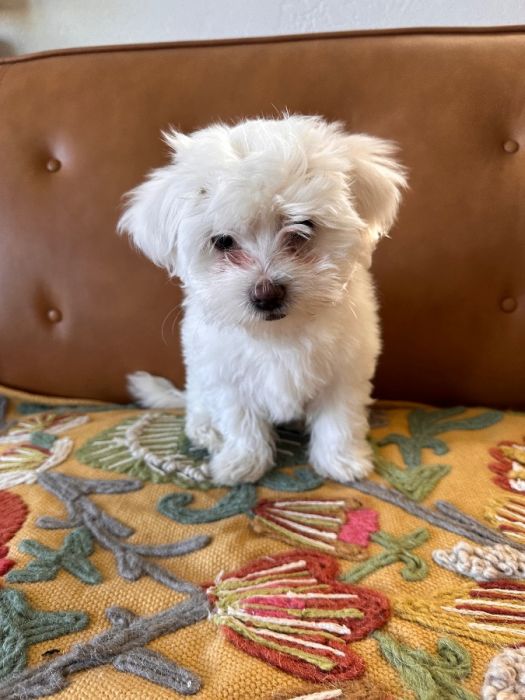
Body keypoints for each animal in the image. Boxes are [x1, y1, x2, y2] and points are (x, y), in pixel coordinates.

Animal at [118, 116, 406, 486]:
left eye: (302, 227)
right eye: (223, 241)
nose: (266, 295)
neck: (277, 334)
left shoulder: (345, 370)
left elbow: (338, 419)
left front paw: (341, 461)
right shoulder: (226, 375)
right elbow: (241, 421)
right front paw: (243, 462)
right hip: (199, 384)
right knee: (199, 409)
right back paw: (207, 433)